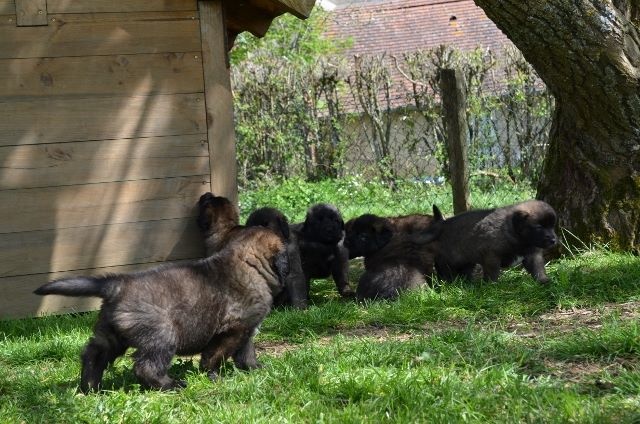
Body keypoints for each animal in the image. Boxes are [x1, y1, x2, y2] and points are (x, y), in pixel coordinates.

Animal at [32, 227, 288, 392]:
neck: (248, 263)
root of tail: (117, 285)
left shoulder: (246, 329)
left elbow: (246, 352)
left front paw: (256, 369)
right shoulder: (232, 329)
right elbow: (215, 355)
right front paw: (213, 375)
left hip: (111, 334)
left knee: (93, 354)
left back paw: (90, 387)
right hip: (162, 334)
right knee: (146, 366)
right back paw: (171, 385)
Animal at [416, 200, 556, 284]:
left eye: (552, 226)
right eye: (539, 227)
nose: (554, 239)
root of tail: (443, 224)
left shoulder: (533, 254)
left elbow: (538, 268)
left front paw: (544, 281)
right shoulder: (491, 256)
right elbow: (492, 272)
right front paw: (492, 286)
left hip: (466, 260)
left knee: (464, 271)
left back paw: (468, 284)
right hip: (449, 260)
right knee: (444, 269)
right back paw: (448, 283)